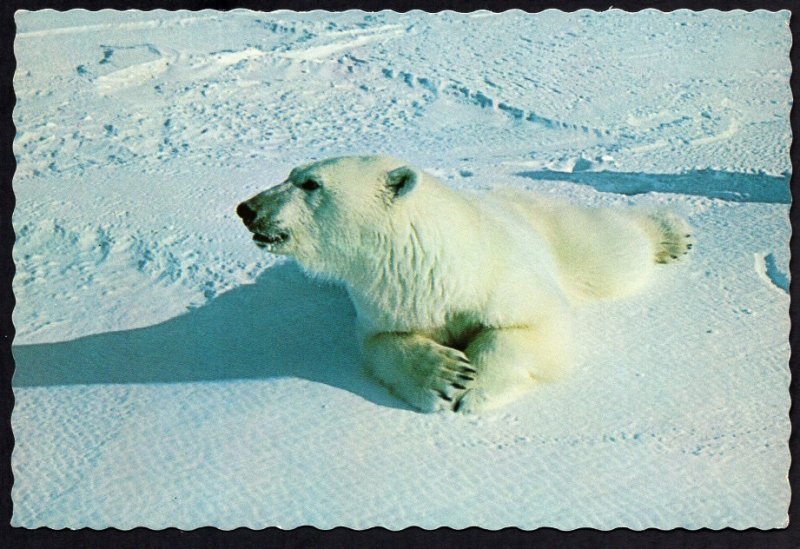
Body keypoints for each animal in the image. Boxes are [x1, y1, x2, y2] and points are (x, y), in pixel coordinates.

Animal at [234, 154, 692, 412]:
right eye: (291, 172)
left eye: (310, 183)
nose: (247, 208)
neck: (424, 259)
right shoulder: (387, 296)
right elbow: (380, 343)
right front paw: (445, 374)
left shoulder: (499, 277)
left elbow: (536, 324)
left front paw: (475, 391)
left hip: (556, 235)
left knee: (611, 253)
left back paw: (670, 234)